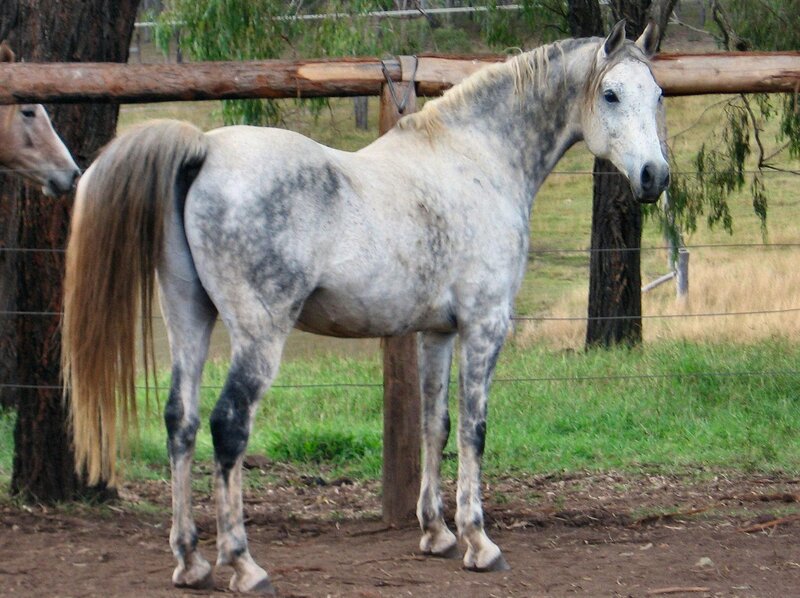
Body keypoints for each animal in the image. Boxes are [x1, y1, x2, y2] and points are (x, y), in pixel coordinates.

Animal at [63, 21, 669, 595]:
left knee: (180, 423)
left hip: (189, 319)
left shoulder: (437, 333)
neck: (478, 158)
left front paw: (436, 533)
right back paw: (244, 565)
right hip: (259, 334)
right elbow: (474, 429)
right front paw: (479, 542)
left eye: (658, 93)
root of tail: (204, 150)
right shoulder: (485, 325)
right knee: (227, 425)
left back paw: (190, 562)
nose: (654, 177)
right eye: (611, 93)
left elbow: (435, 425)